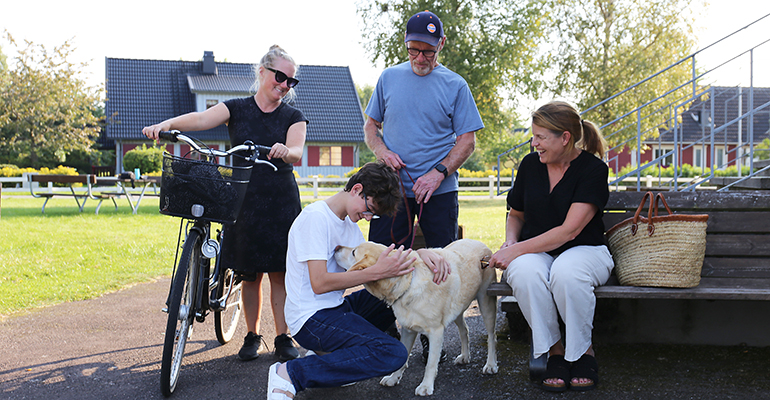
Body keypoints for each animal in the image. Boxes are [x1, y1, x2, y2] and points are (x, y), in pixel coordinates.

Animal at [332, 239, 496, 396]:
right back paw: (465, 356)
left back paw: (491, 364)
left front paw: (426, 386)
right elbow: (403, 356)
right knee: (464, 330)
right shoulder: (407, 329)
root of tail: (481, 244)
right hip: (458, 307)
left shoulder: (436, 331)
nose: (336, 247)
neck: (407, 283)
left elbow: (431, 363)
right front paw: (393, 378)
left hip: (486, 303)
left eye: (353, 252)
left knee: (491, 337)